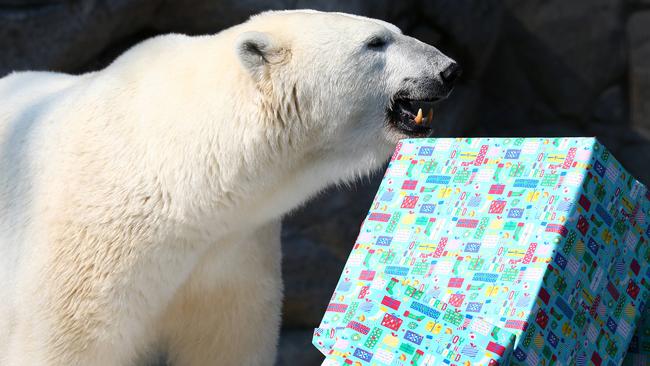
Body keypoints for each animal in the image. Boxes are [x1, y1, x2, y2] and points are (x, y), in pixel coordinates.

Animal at [0, 7, 458, 366]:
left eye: (394, 30)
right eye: (376, 42)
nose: (448, 69)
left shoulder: (233, 254)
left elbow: (226, 339)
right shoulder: (90, 250)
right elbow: (66, 340)